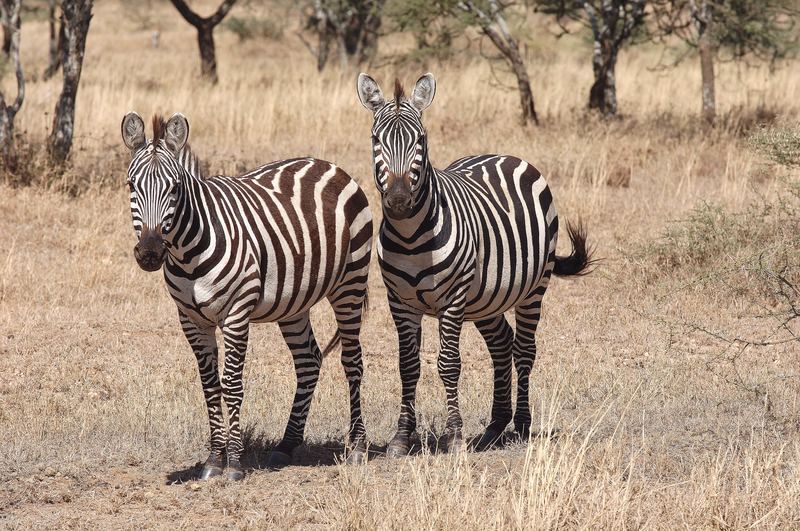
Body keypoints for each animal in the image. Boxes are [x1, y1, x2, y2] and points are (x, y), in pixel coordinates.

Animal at [120, 112, 374, 482]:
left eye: (175, 188)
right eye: (131, 186)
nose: (151, 253)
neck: (188, 251)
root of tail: (328, 164)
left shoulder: (236, 313)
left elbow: (232, 383)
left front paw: (235, 464)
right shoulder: (191, 320)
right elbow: (210, 386)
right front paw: (214, 460)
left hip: (350, 284)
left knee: (352, 360)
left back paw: (356, 447)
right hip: (294, 303)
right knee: (309, 360)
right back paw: (286, 445)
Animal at [356, 74, 592, 458]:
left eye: (421, 139)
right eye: (376, 139)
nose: (399, 201)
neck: (410, 236)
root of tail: (504, 155)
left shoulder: (453, 298)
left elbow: (449, 364)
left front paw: (454, 437)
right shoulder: (400, 301)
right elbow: (408, 366)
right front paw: (401, 437)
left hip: (534, 287)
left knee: (525, 349)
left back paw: (521, 423)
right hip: (485, 299)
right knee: (502, 344)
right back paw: (496, 425)